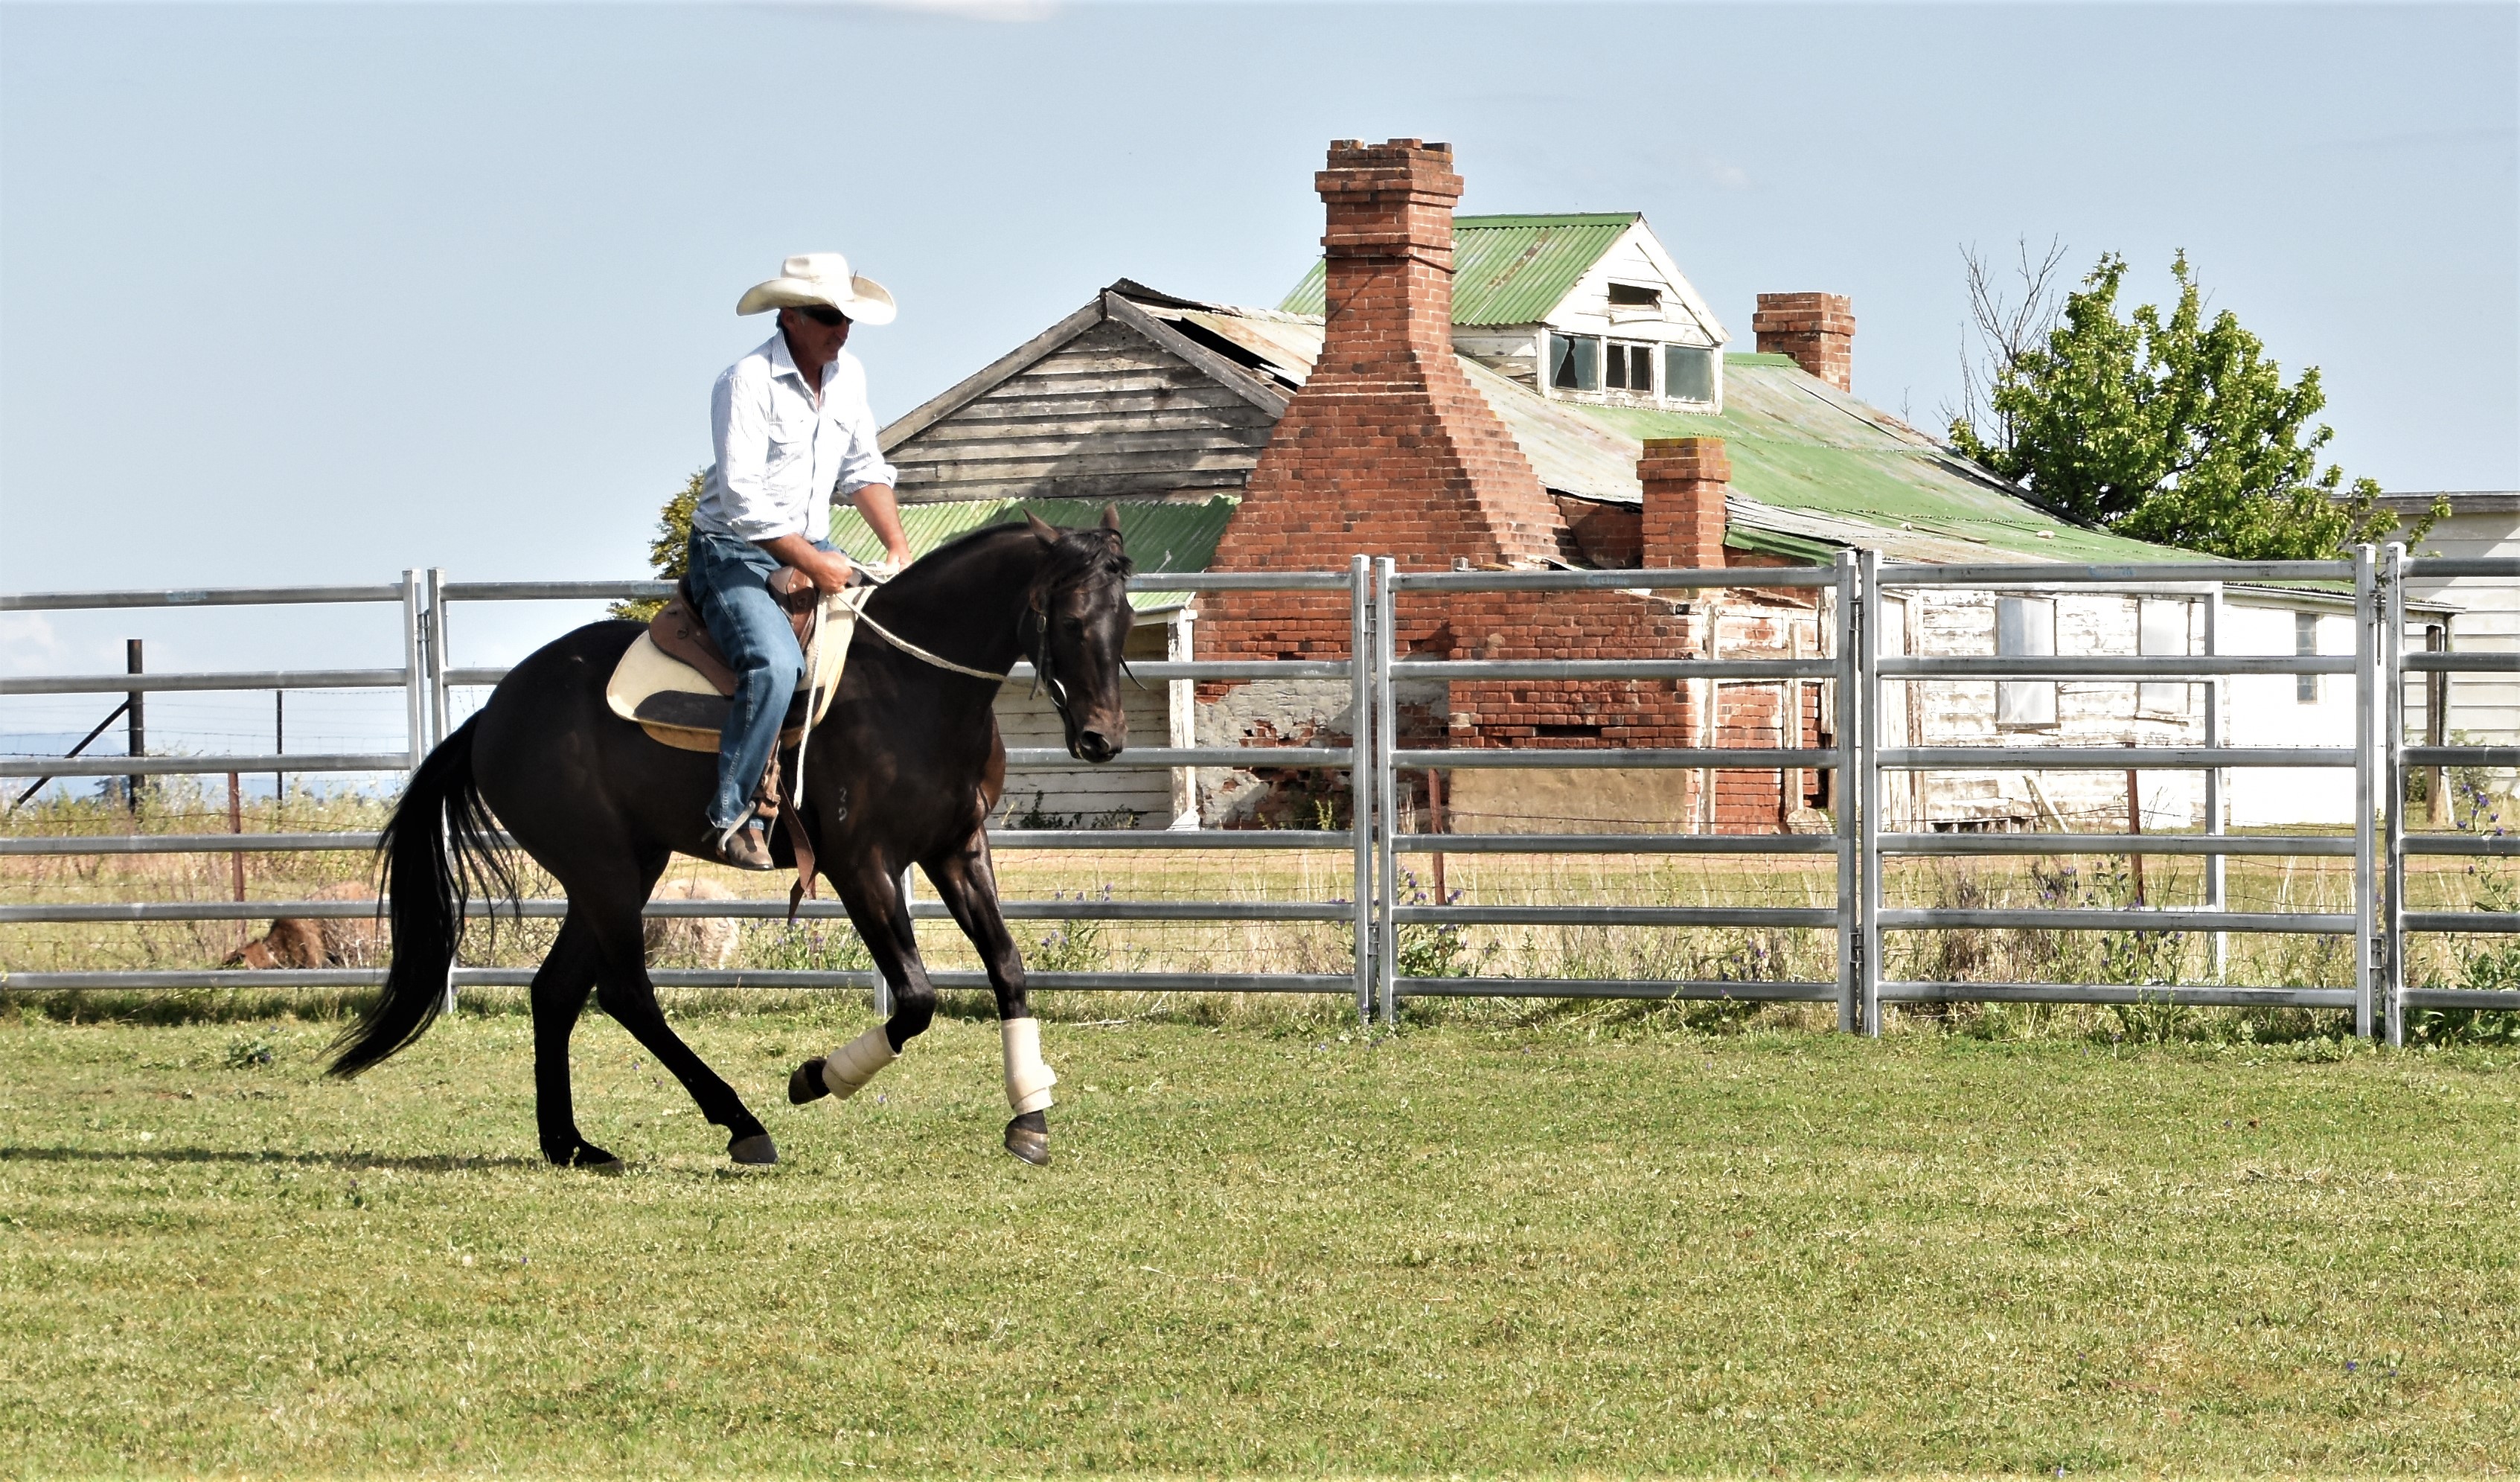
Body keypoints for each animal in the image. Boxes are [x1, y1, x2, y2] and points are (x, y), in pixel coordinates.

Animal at [324, 510, 1136, 1170]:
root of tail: (492, 715)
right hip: (603, 869)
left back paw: (571, 1144)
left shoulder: (956, 847)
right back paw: (741, 1122)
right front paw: (815, 1077)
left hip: (621, 867)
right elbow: (913, 998)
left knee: (556, 991)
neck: (907, 686)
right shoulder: (859, 863)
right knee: (626, 992)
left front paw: (1029, 1118)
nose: (1103, 739)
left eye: (1123, 615)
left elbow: (1008, 967)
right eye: (1069, 619)